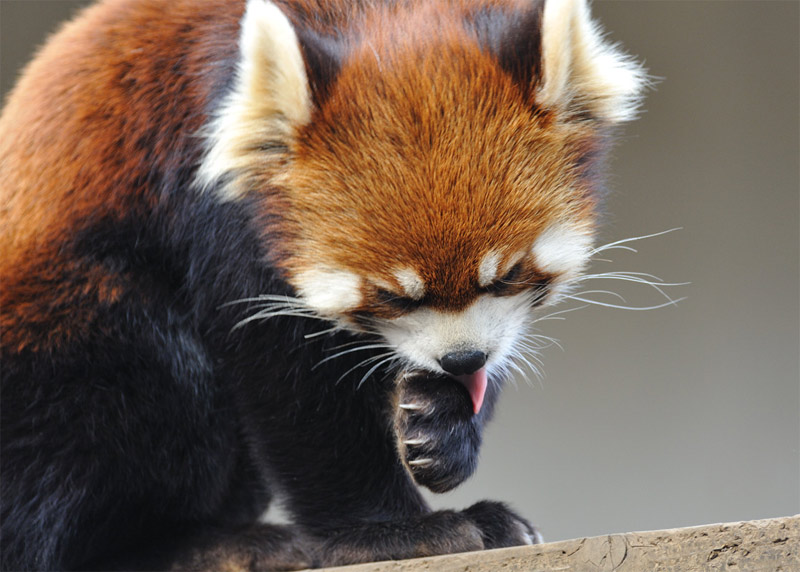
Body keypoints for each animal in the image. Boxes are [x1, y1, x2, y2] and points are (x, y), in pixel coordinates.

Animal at [0, 1, 644, 568]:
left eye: (507, 275)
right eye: (390, 295)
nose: (462, 359)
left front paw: (441, 427)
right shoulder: (211, 193)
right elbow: (292, 384)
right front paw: (391, 533)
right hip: (75, 333)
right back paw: (199, 547)